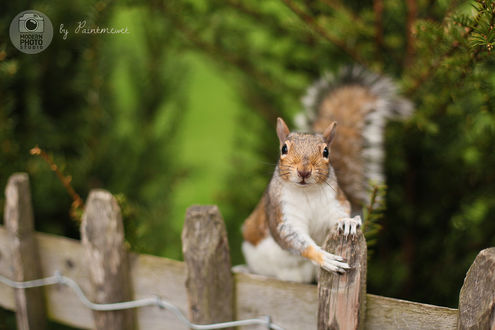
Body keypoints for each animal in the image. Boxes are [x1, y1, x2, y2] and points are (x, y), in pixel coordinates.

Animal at [242, 65, 412, 282]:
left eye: (326, 152)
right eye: (283, 149)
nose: (304, 171)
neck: (307, 193)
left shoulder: (335, 201)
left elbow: (340, 213)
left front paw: (348, 221)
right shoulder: (281, 212)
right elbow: (292, 239)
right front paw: (323, 257)